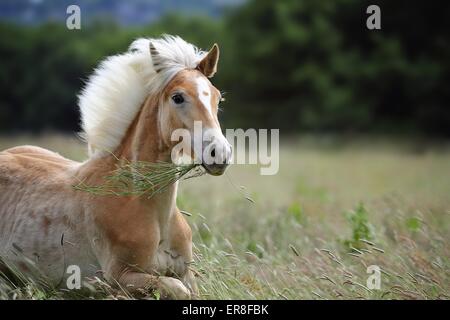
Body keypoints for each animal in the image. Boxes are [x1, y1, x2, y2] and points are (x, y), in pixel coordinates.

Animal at [0, 35, 232, 298]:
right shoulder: (120, 280)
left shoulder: (186, 274)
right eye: (178, 97)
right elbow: (176, 289)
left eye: (217, 97)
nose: (220, 153)